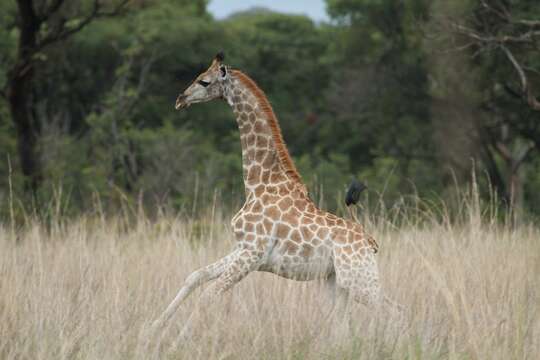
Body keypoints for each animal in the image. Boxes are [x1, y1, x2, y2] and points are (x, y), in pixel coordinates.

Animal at [152, 52, 396, 330]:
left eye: (204, 81)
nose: (180, 99)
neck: (259, 183)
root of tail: (370, 242)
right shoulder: (242, 248)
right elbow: (196, 276)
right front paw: (153, 327)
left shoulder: (252, 253)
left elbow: (208, 295)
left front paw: (180, 336)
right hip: (337, 281)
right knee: (343, 322)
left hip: (360, 279)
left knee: (395, 311)